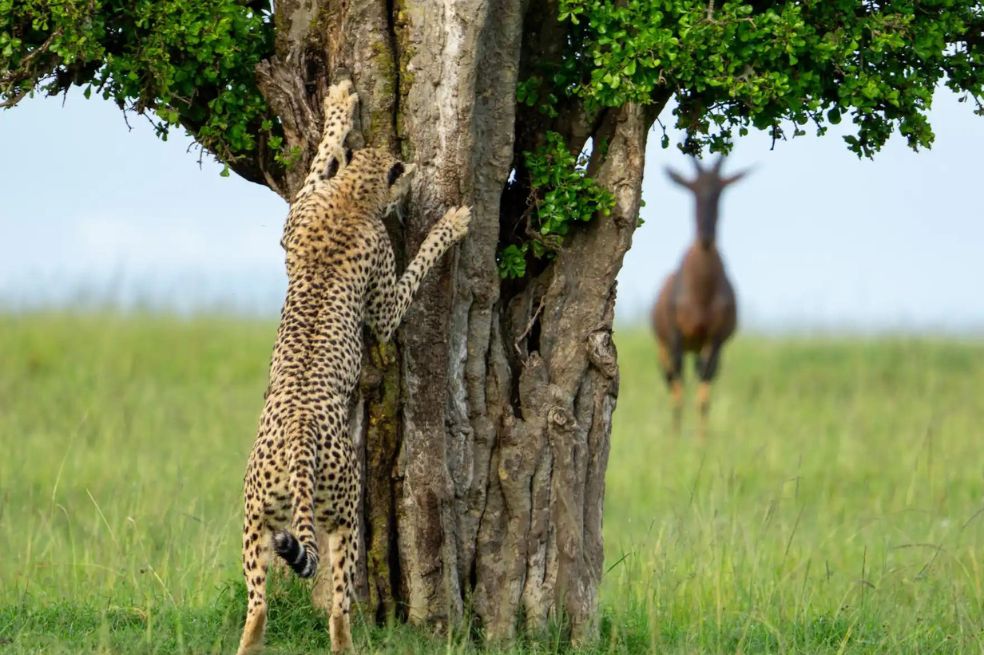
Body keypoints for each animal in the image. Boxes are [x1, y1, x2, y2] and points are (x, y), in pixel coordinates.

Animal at [235, 79, 471, 655]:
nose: (414, 180)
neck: (352, 197)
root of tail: (299, 438)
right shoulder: (383, 304)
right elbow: (413, 273)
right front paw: (450, 224)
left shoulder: (295, 218)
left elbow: (321, 158)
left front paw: (339, 107)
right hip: (344, 518)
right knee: (340, 608)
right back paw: (345, 643)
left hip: (256, 522)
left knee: (258, 606)